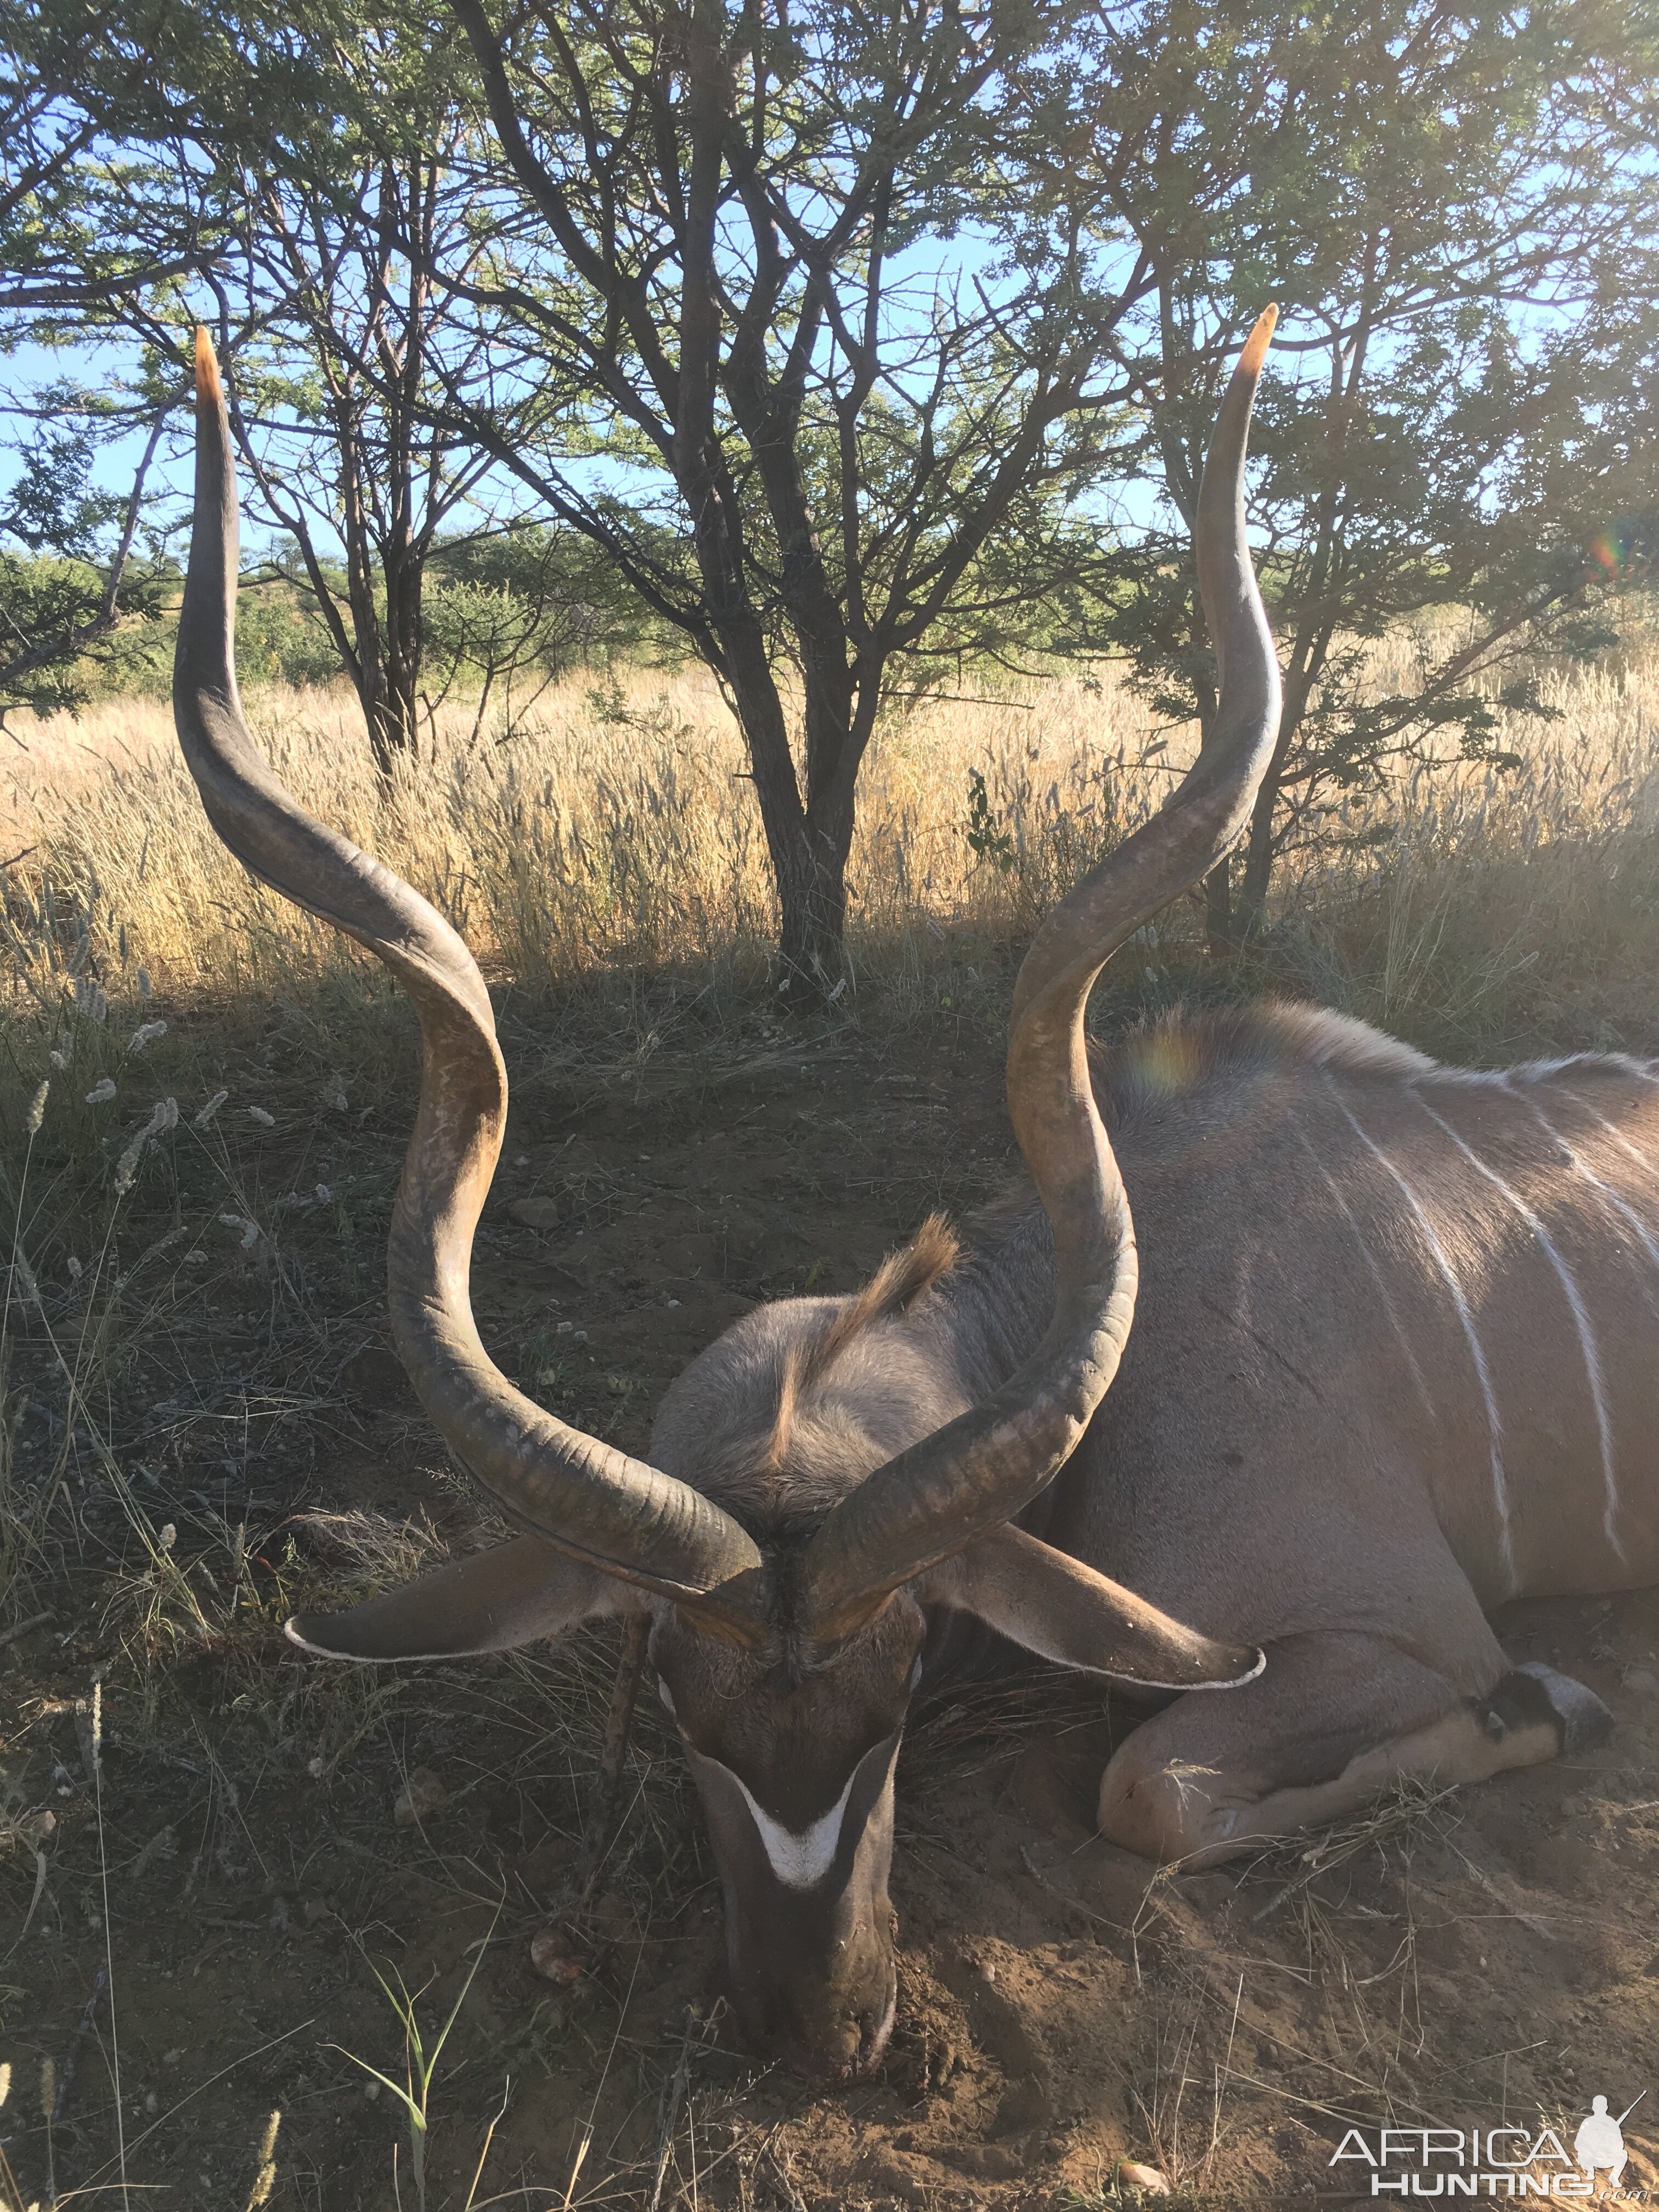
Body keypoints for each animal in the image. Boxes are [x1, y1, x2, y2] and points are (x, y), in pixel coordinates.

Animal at [172, 316, 1628, 2088]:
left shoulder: (1400, 1628)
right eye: (670, 1691)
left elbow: (1153, 1788)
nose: (820, 2024)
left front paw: (1551, 1704)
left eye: (917, 1666)